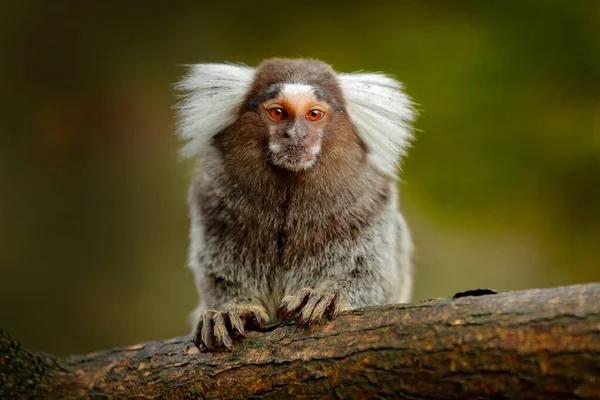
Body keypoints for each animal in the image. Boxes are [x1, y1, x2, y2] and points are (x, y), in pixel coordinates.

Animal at [176, 57, 414, 350]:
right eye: (278, 113)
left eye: (314, 115)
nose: (296, 135)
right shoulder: (212, 199)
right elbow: (217, 276)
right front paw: (229, 310)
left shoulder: (370, 203)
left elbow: (376, 277)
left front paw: (325, 296)